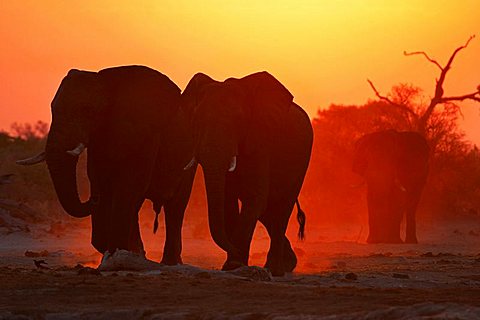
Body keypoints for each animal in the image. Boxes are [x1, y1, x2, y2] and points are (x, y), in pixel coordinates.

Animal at [17, 65, 195, 264]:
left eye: (87, 111)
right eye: (53, 110)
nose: (93, 198)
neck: (106, 82)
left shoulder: (146, 135)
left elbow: (131, 185)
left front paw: (118, 252)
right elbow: (101, 179)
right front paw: (121, 252)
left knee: (175, 207)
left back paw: (169, 262)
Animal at [182, 71, 314, 276]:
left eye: (238, 121)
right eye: (196, 121)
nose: (234, 250)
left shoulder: (261, 142)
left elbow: (255, 198)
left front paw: (234, 264)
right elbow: (228, 202)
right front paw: (234, 264)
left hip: (302, 161)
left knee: (281, 208)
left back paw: (275, 269)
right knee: (268, 213)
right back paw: (288, 264)